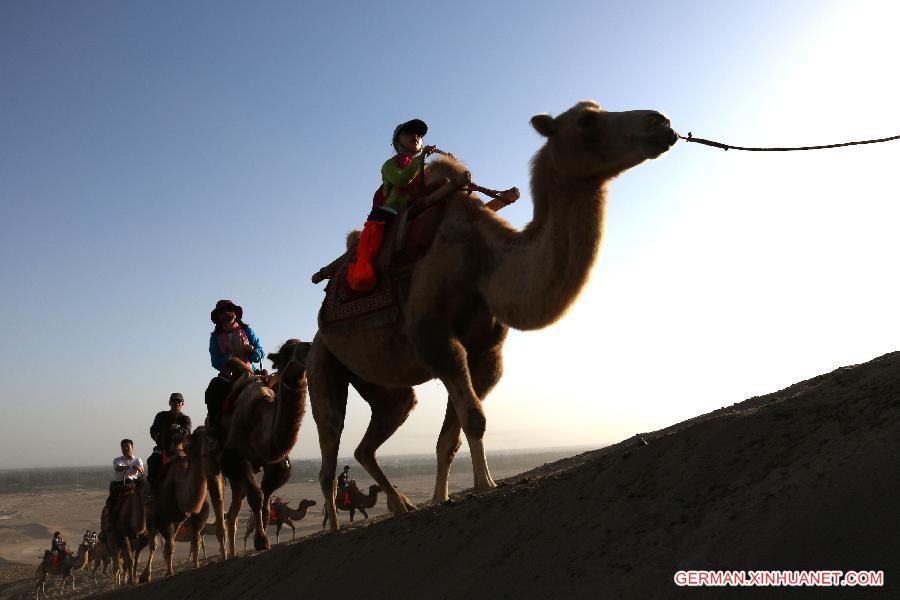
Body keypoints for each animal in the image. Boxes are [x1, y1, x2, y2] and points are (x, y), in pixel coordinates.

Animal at [134, 428, 208, 584]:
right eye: (197, 435)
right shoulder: (164, 518)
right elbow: (168, 546)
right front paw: (169, 573)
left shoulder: (191, 517)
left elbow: (193, 542)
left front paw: (196, 565)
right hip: (150, 516)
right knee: (153, 544)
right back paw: (145, 576)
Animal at [204, 338, 312, 556]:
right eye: (286, 351)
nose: (310, 347)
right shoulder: (235, 458)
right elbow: (256, 496)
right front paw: (261, 541)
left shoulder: (275, 463)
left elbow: (266, 499)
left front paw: (262, 538)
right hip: (211, 463)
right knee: (220, 511)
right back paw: (225, 555)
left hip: (236, 482)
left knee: (233, 516)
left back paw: (233, 552)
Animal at [310, 99, 676, 528]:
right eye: (586, 120)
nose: (660, 122)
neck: (484, 259)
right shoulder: (434, 336)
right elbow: (474, 418)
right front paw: (486, 486)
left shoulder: (487, 354)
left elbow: (451, 436)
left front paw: (442, 497)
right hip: (323, 363)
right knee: (329, 446)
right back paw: (335, 527)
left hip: (384, 386)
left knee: (375, 435)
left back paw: (403, 505)